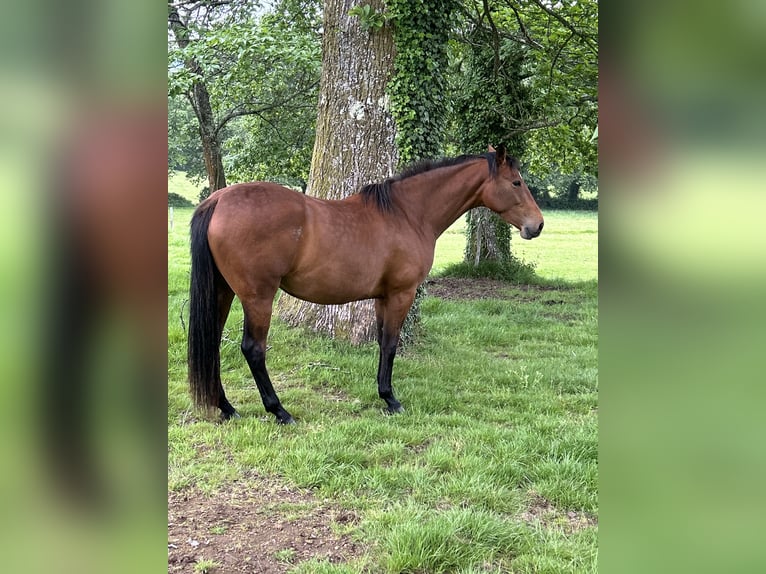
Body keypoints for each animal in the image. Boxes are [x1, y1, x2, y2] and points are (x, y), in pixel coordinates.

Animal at [188, 145, 544, 424]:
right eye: (516, 182)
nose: (537, 225)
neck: (407, 214)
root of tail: (218, 200)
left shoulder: (381, 297)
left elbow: (382, 343)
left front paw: (383, 394)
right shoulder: (401, 294)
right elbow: (390, 344)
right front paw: (391, 399)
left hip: (223, 292)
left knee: (213, 342)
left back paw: (226, 407)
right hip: (258, 297)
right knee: (253, 349)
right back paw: (279, 411)